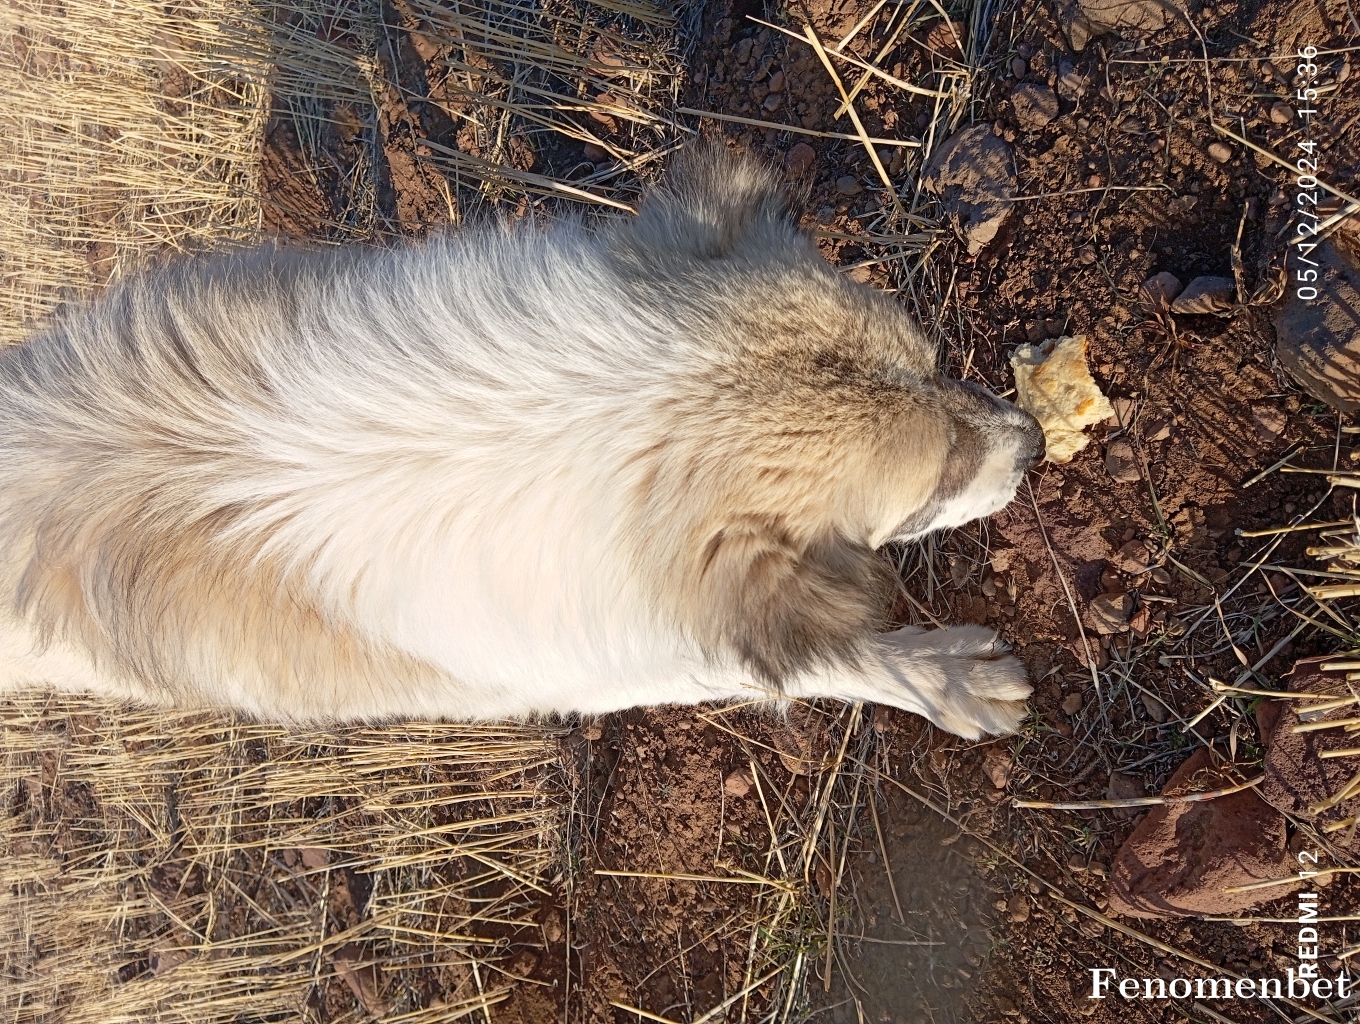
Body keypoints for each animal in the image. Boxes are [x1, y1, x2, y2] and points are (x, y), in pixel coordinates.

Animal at [0, 144, 1044, 734]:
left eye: (936, 358)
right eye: (937, 480)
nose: (1034, 440)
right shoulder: (632, 656)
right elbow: (833, 661)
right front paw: (947, 679)